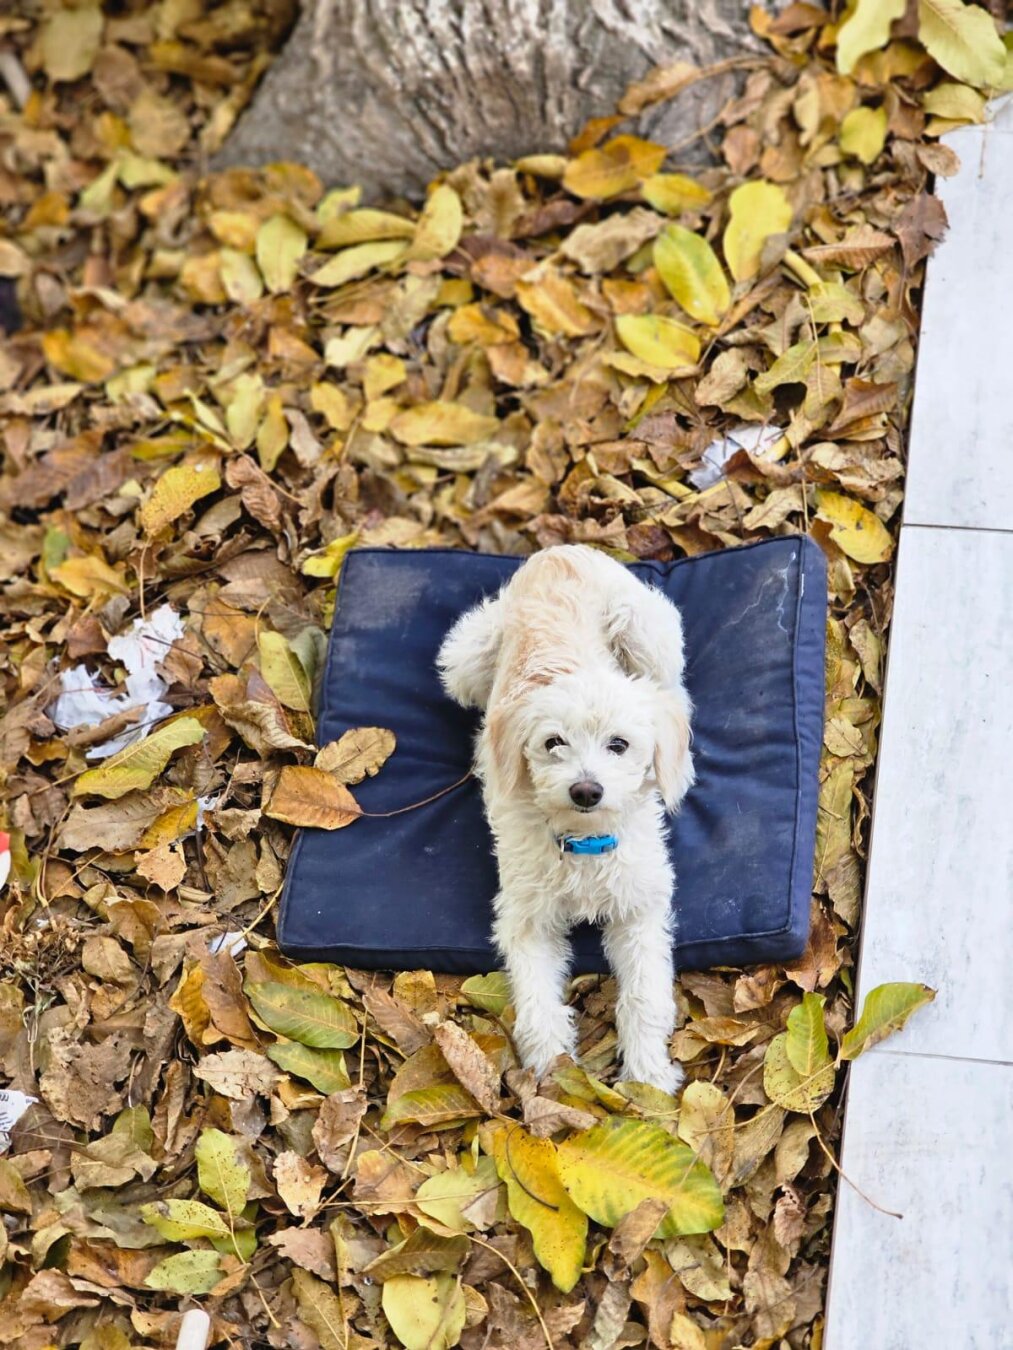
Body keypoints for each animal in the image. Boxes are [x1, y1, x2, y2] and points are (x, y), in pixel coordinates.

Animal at [437, 545, 694, 1093]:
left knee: (668, 687)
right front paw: (550, 1068)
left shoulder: (640, 912)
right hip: (463, 658)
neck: (584, 844)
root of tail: (557, 551)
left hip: (647, 627)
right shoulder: (527, 919)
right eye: (554, 742)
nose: (586, 789)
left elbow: (645, 996)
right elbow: (537, 1003)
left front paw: (647, 1078)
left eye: (619, 744)